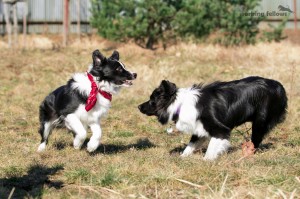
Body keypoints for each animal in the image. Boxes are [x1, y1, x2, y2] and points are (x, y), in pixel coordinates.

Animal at [139, 76, 288, 160]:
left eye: (152, 100)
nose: (138, 106)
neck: (179, 104)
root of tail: (279, 86)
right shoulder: (199, 128)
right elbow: (190, 145)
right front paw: (182, 157)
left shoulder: (220, 129)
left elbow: (211, 149)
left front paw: (206, 160)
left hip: (260, 121)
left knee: (255, 140)